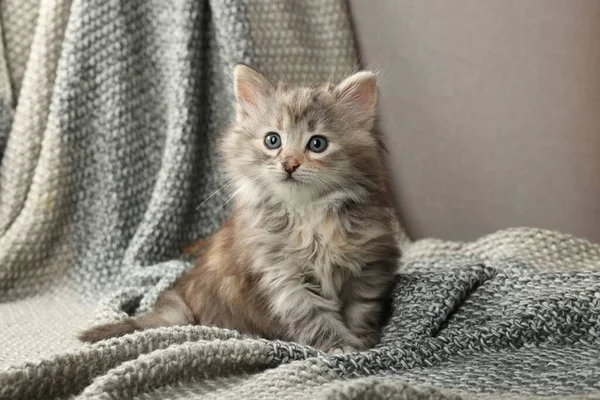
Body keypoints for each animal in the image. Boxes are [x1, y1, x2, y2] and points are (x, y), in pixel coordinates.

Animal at [78, 65, 398, 354]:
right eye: (273, 140)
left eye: (317, 144)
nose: (289, 164)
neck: (307, 213)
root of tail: (185, 304)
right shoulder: (283, 278)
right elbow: (316, 318)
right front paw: (341, 347)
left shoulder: (368, 265)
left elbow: (360, 309)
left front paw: (363, 340)